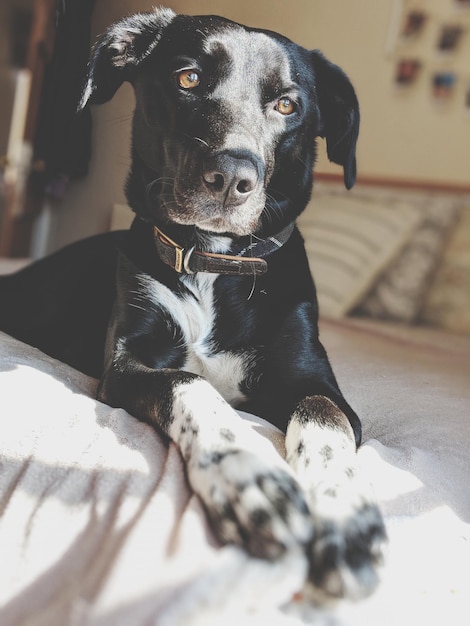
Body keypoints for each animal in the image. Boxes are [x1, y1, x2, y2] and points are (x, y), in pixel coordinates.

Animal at [0, 6, 386, 600]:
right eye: (188, 78)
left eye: (287, 104)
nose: (231, 179)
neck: (213, 263)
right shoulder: (125, 365)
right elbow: (190, 383)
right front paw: (247, 476)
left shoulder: (319, 385)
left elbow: (325, 424)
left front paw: (345, 517)